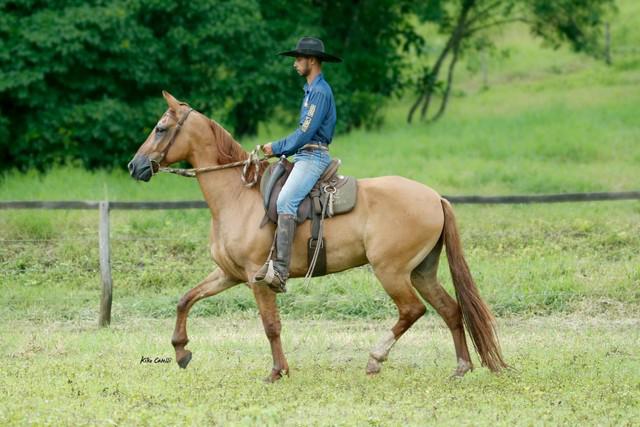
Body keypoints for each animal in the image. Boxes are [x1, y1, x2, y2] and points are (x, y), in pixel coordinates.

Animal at [127, 92, 504, 382]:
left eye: (160, 129)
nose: (135, 166)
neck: (237, 196)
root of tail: (435, 198)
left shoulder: (256, 277)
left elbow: (271, 325)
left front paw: (277, 371)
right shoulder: (228, 274)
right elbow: (185, 299)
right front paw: (181, 351)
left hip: (392, 272)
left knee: (412, 310)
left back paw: (375, 359)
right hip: (422, 271)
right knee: (451, 310)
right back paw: (461, 367)